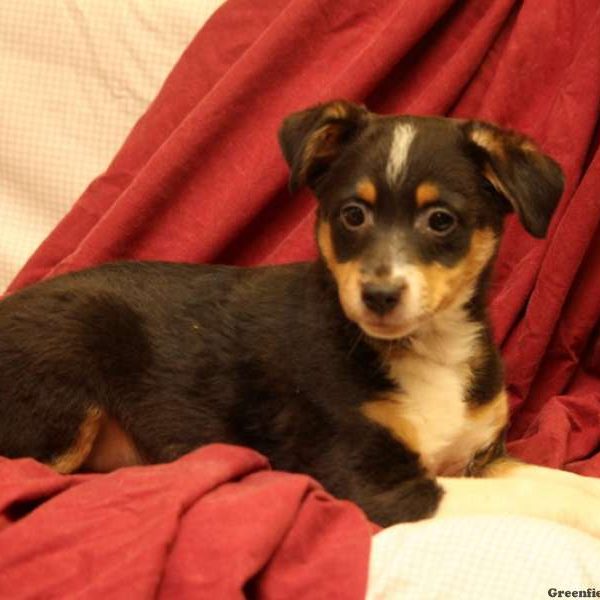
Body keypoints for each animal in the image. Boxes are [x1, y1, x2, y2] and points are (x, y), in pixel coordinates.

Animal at [1, 101, 600, 532]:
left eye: (441, 220)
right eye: (352, 215)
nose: (379, 295)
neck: (427, 348)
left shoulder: (483, 454)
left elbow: (557, 480)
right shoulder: (378, 482)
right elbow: (529, 492)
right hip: (65, 392)